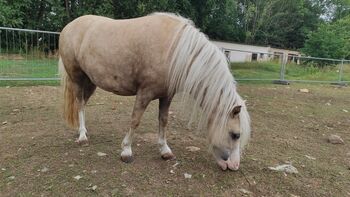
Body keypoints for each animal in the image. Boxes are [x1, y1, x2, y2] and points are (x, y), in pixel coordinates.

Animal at [58, 12, 250, 171]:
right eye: (235, 135)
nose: (234, 166)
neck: (174, 51)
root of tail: (69, 26)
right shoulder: (144, 93)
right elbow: (135, 120)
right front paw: (126, 151)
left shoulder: (166, 96)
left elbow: (163, 121)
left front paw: (165, 151)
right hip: (77, 78)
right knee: (80, 104)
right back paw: (82, 136)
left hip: (91, 81)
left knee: (82, 104)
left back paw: (83, 130)